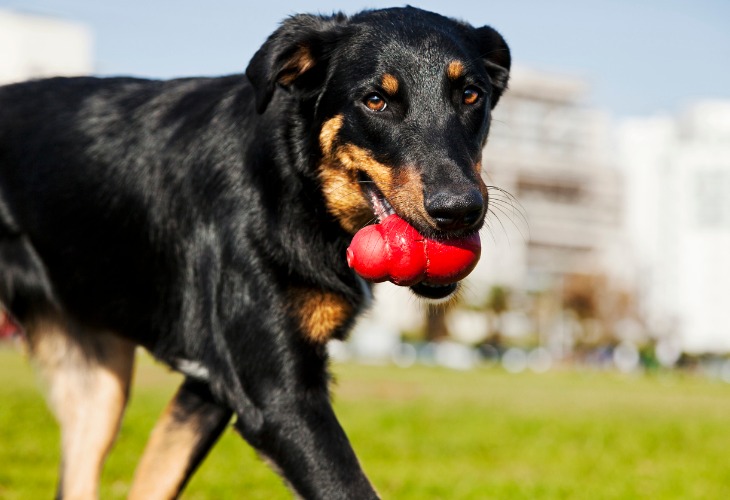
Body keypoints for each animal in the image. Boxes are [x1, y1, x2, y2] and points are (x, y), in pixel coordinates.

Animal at [0, 5, 506, 498]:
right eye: (376, 101)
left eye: (470, 95)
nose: (459, 210)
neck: (293, 180)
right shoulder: (278, 397)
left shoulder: (209, 387)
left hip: (99, 390)